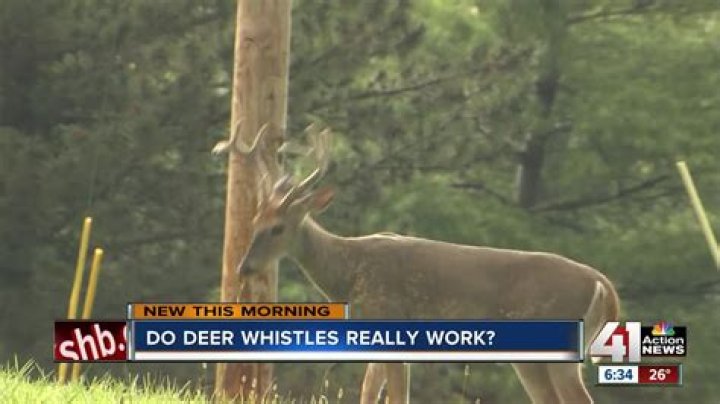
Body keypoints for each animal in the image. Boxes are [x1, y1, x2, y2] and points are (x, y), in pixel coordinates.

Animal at [220, 125, 621, 404]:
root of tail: (603, 284)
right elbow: (370, 394)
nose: (244, 269)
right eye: (253, 220)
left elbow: (397, 396)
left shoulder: (388, 318)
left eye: (278, 228)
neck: (348, 273)